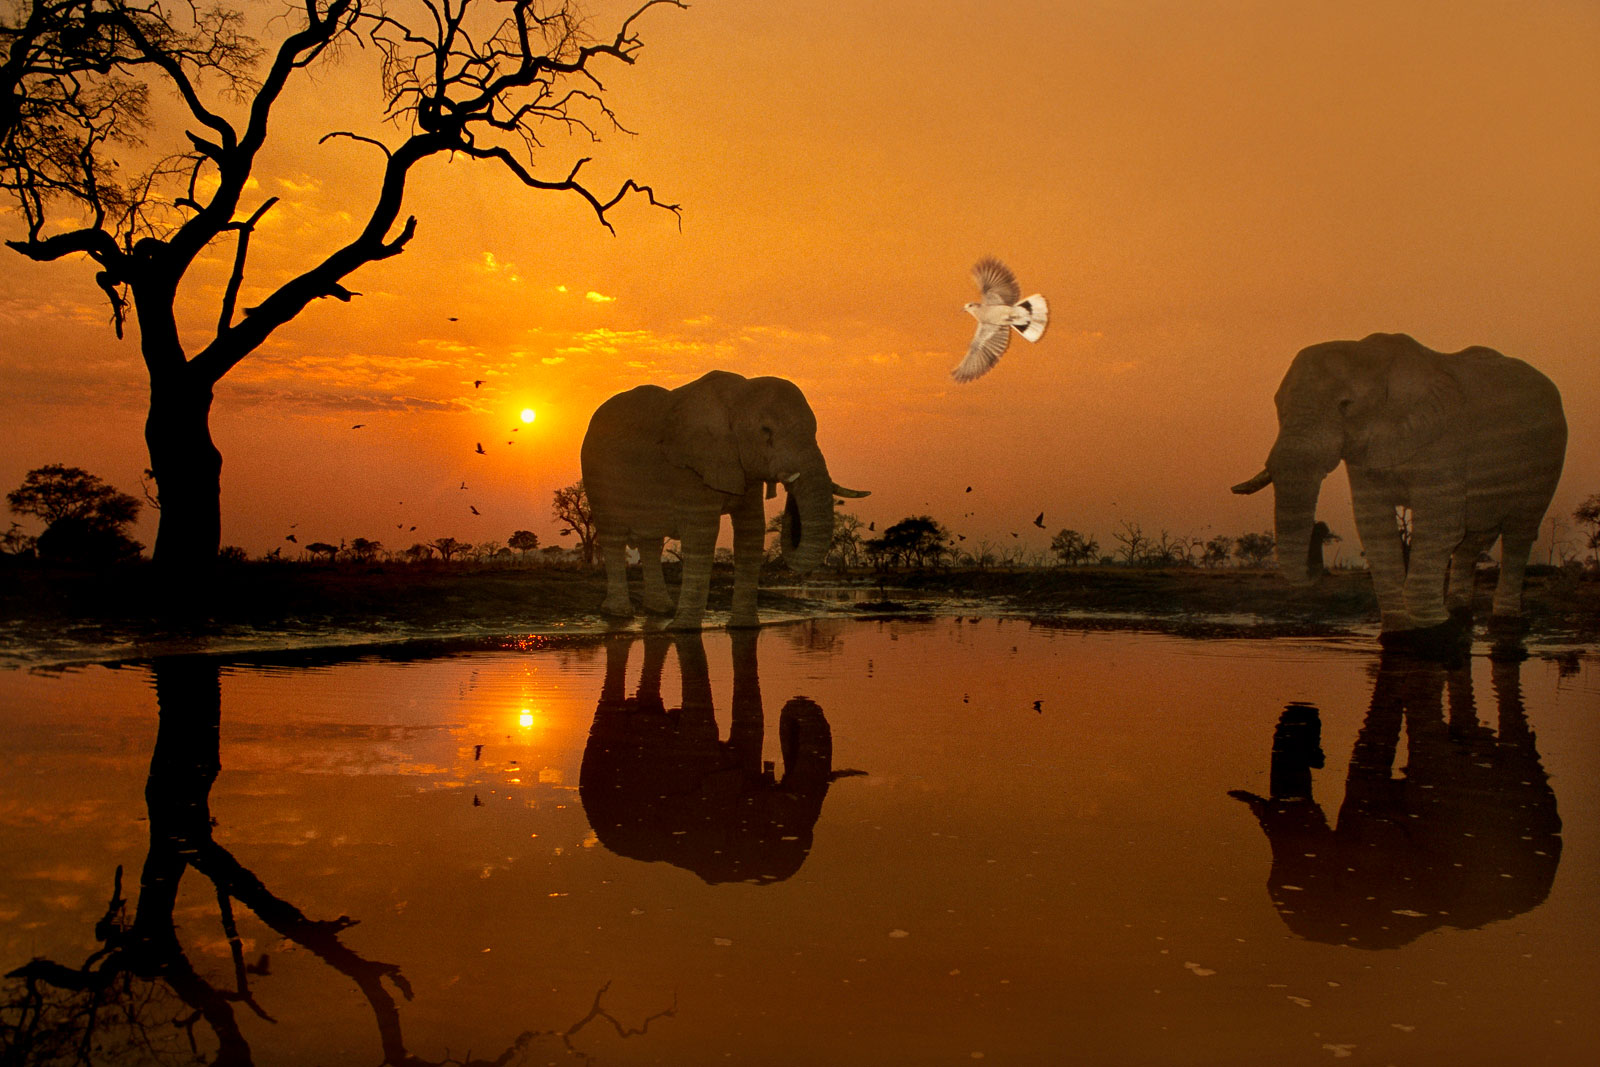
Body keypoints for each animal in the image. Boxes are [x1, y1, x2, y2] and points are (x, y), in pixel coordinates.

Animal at [582, 369, 870, 630]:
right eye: (766, 431)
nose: (789, 488)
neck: (738, 396)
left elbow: (751, 531)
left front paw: (744, 627)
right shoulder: (691, 466)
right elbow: (702, 534)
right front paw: (683, 629)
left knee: (650, 541)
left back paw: (661, 610)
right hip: (597, 478)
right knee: (612, 536)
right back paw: (620, 614)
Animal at [1228, 331, 1568, 643]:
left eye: (1345, 405)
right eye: (1278, 406)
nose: (1320, 527)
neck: (1372, 356)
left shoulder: (1443, 439)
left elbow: (1438, 526)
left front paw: (1437, 634)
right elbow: (1374, 526)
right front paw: (1402, 636)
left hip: (1548, 460)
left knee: (1519, 533)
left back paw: (1505, 625)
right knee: (1472, 540)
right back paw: (1461, 617)